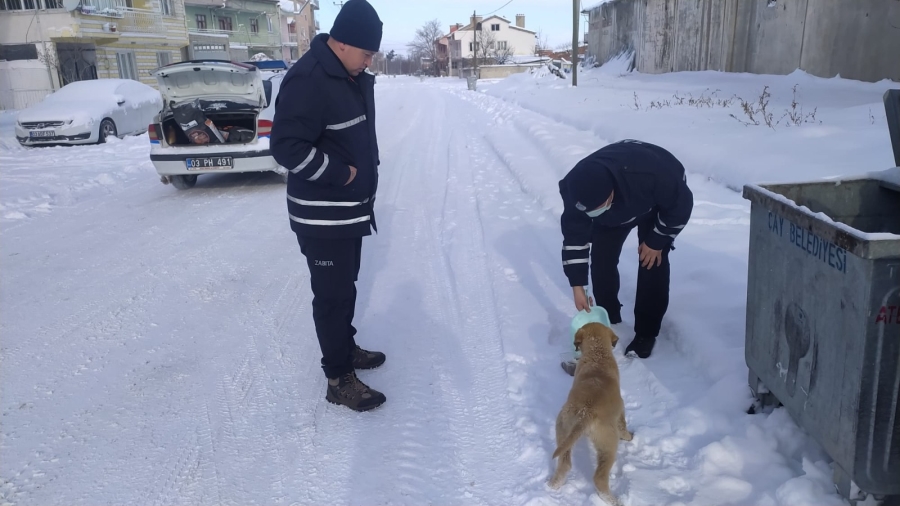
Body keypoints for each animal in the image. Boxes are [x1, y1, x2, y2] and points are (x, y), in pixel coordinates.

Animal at [548, 324, 632, 502]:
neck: (597, 353)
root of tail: (585, 413)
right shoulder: (621, 407)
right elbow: (623, 424)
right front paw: (628, 436)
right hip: (608, 445)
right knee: (599, 478)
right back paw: (613, 500)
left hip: (563, 429)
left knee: (565, 464)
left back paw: (553, 485)